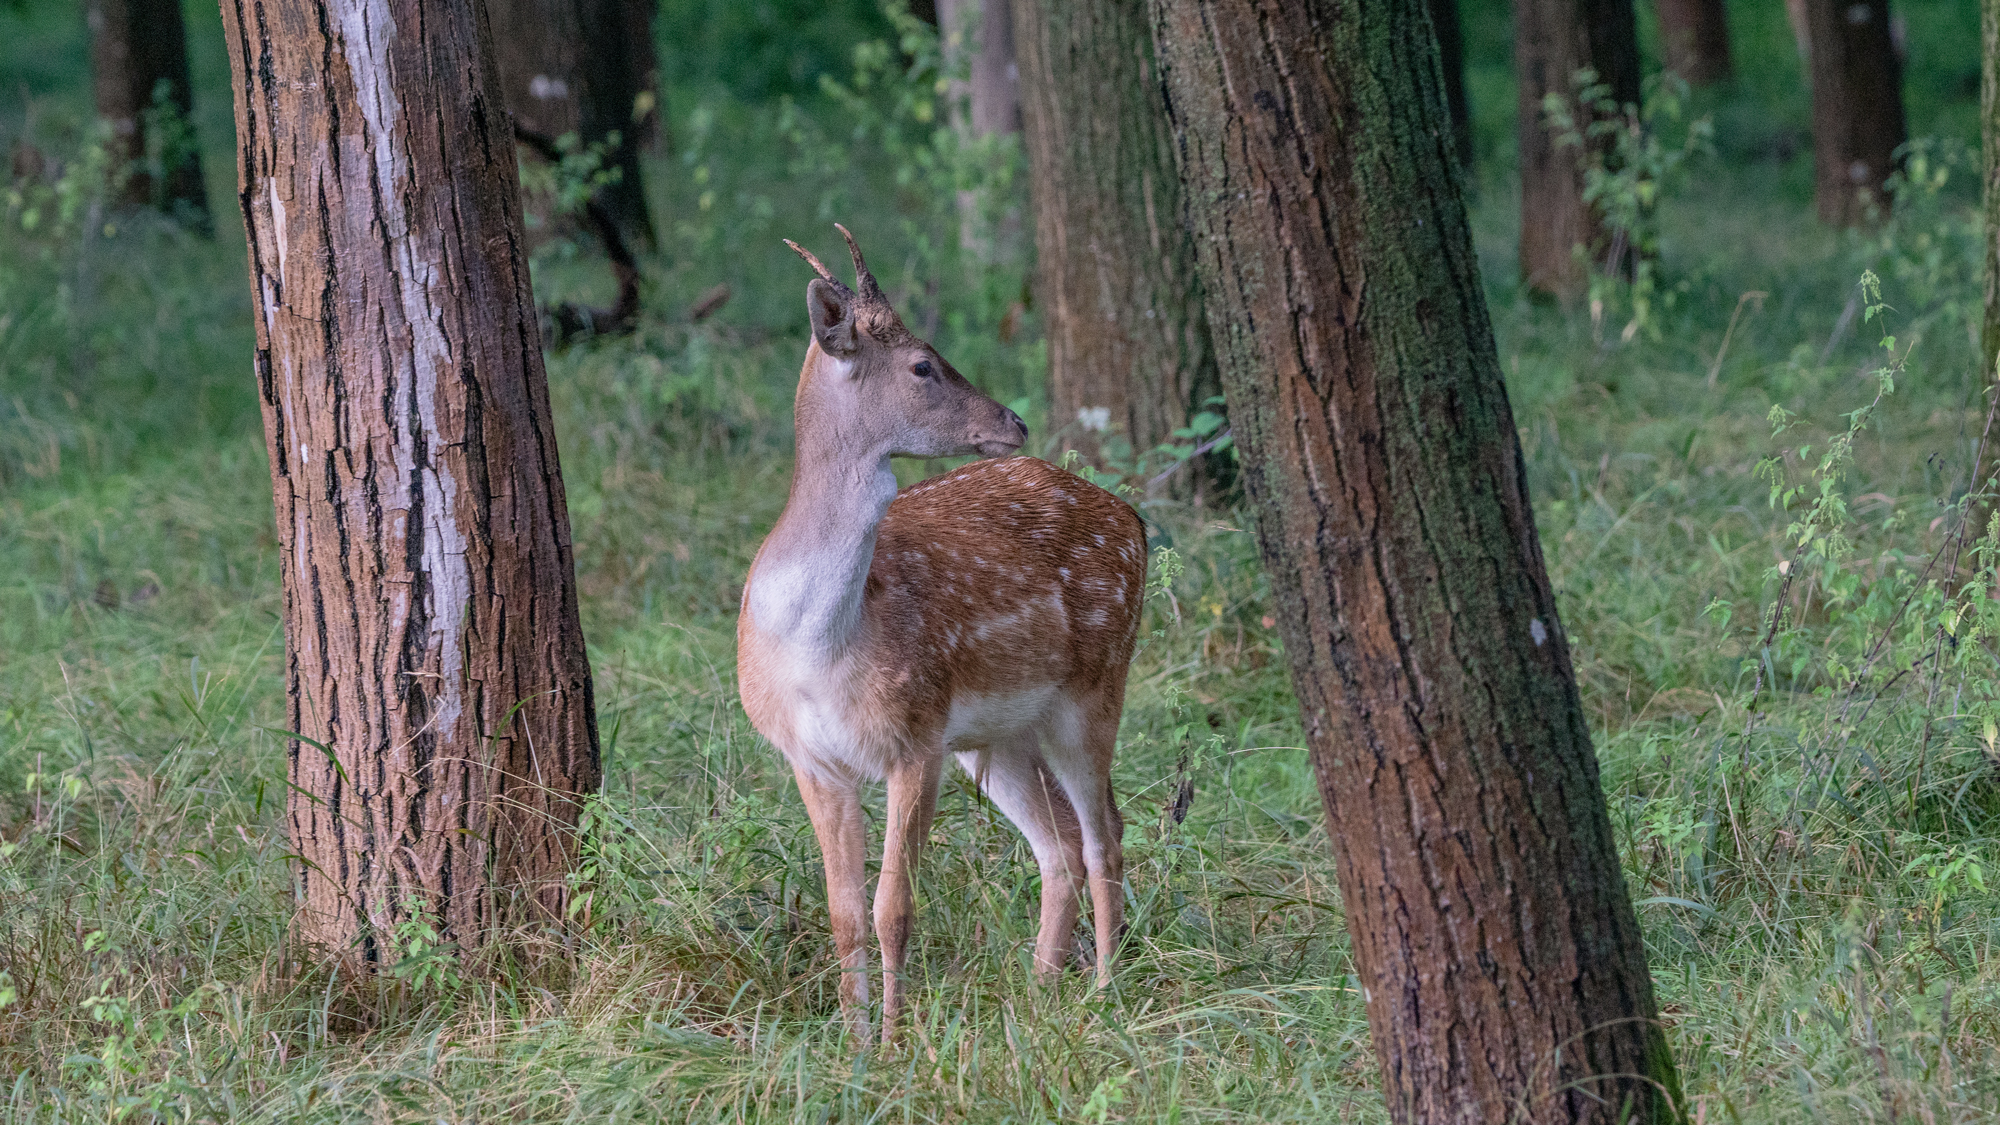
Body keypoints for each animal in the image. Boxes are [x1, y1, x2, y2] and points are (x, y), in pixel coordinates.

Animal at [737, 225, 1146, 1044]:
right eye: (923, 364)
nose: (1015, 420)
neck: (818, 645)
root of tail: (1138, 522)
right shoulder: (811, 757)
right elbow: (843, 916)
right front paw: (854, 1042)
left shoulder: (914, 735)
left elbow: (893, 908)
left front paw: (897, 1041)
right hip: (994, 739)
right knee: (1059, 844)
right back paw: (1041, 991)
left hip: (1095, 684)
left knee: (1105, 833)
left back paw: (1103, 992)